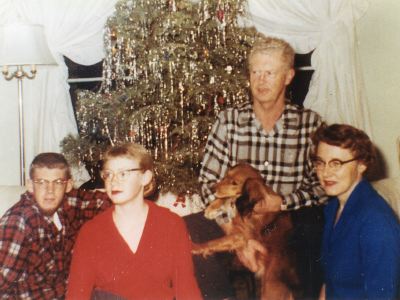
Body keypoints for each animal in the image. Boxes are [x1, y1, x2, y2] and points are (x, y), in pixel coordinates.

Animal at [193, 164, 300, 300]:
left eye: (234, 183)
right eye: (226, 175)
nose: (212, 189)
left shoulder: (240, 236)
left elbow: (215, 242)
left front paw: (195, 247)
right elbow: (228, 198)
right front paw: (212, 207)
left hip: (269, 289)